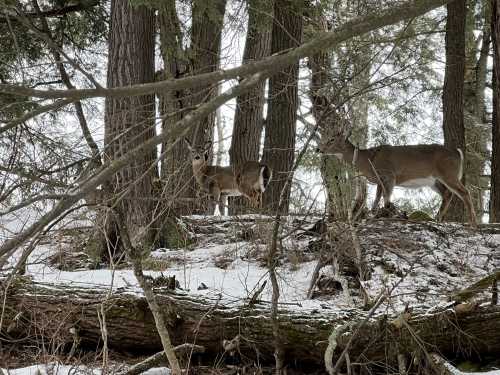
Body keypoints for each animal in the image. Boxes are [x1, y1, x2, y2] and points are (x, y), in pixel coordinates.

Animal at [318, 128, 478, 228]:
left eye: (331, 139)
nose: (318, 149)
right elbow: (376, 200)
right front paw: (373, 215)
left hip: (448, 173)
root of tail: (458, 152)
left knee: (464, 192)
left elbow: (387, 199)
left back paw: (472, 223)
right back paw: (437, 219)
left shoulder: (389, 174)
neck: (368, 160)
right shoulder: (380, 180)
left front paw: (385, 216)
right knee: (448, 194)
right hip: (435, 180)